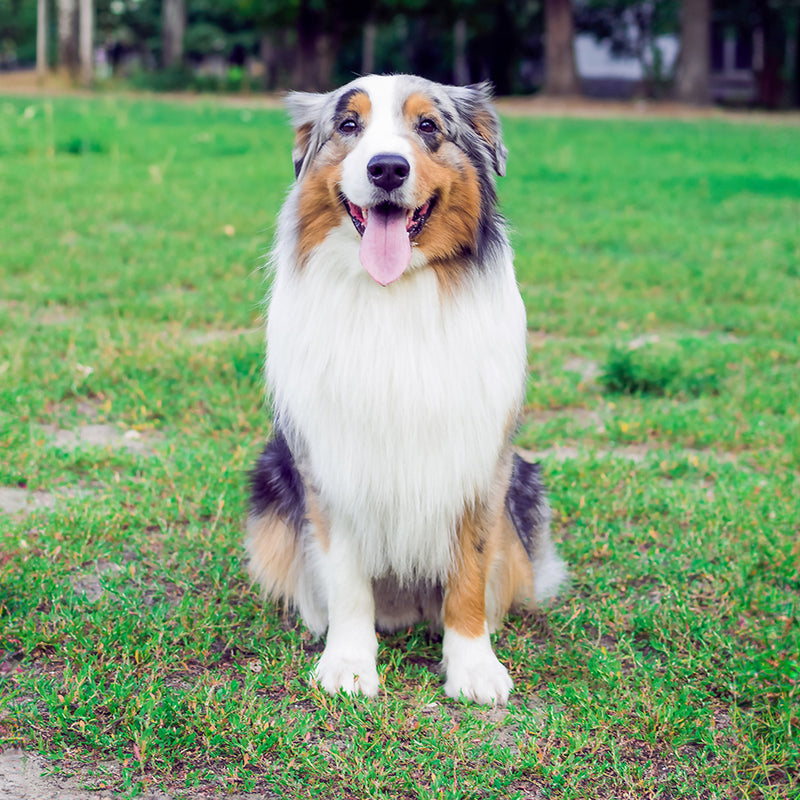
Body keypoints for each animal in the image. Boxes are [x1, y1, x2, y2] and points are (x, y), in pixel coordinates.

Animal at [247, 72, 564, 704]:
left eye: (428, 126)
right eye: (349, 125)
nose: (387, 168)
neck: (393, 293)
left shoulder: (480, 464)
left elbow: (470, 570)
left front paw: (473, 666)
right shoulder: (334, 464)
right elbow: (346, 577)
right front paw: (348, 662)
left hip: (525, 484)